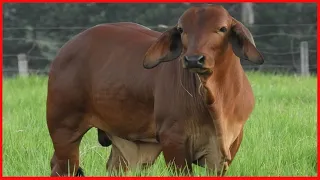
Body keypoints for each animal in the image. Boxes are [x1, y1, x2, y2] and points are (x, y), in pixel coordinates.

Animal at [46, 4, 264, 176]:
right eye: (182, 29)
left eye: (222, 28)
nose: (194, 60)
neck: (214, 100)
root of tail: (67, 47)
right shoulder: (173, 141)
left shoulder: (228, 147)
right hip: (63, 129)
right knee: (63, 167)